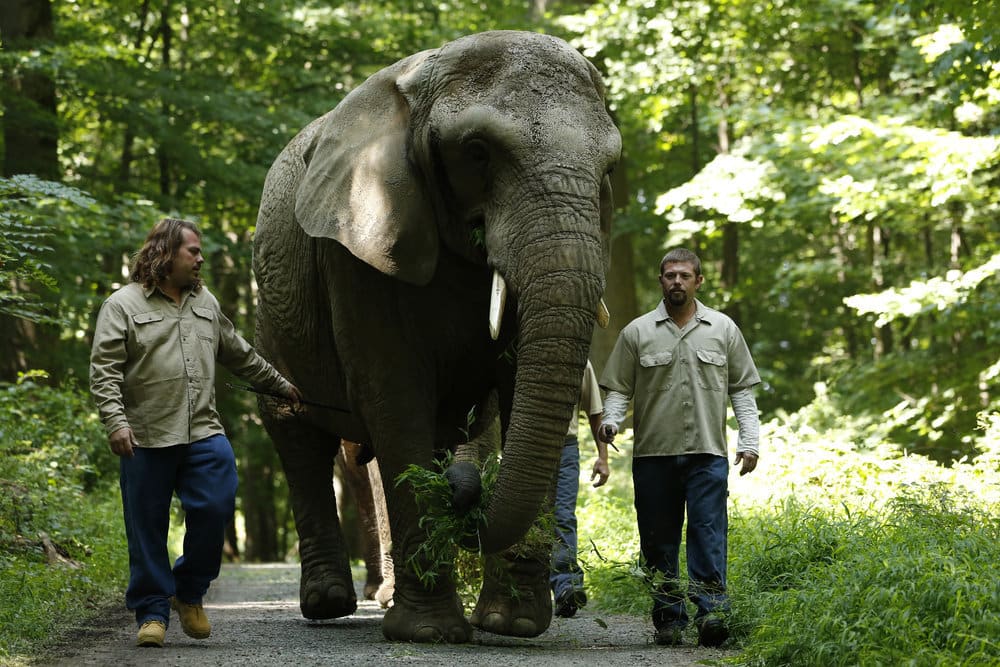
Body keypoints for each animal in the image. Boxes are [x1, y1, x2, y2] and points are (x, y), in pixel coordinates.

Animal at [253, 30, 621, 643]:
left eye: (609, 167)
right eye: (477, 151)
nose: (464, 495)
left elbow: (517, 392)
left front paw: (511, 625)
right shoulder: (357, 241)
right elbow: (395, 399)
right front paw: (428, 633)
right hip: (270, 320)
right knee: (301, 440)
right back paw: (330, 604)